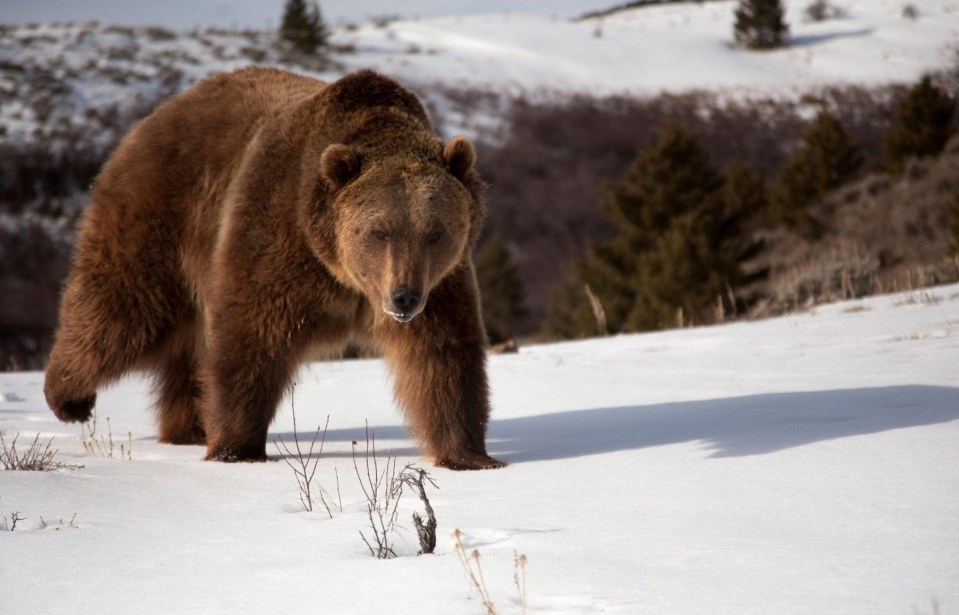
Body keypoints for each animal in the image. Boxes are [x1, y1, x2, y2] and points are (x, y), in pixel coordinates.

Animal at [45, 67, 506, 470]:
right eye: (379, 231)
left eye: (435, 232)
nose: (404, 298)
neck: (344, 275)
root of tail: (153, 117)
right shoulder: (277, 240)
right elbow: (251, 339)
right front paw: (236, 450)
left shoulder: (441, 282)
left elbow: (443, 356)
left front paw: (471, 457)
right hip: (159, 219)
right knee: (123, 309)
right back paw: (68, 398)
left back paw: (186, 429)